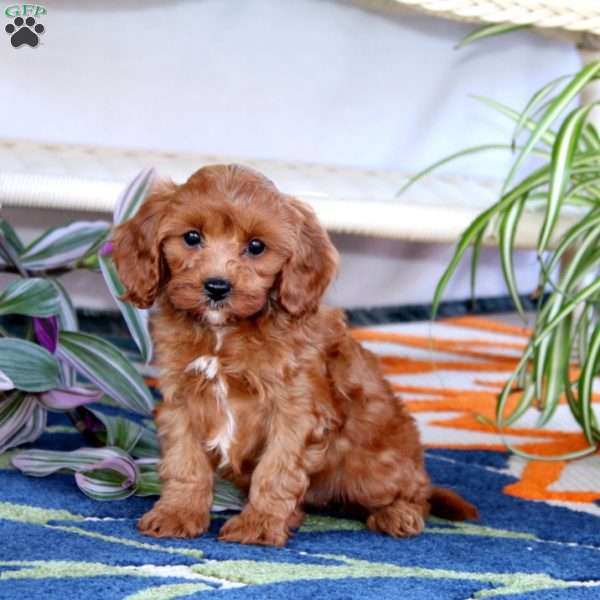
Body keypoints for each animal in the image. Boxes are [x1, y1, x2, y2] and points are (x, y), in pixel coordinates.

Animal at [112, 164, 478, 548]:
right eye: (192, 237)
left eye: (256, 246)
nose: (216, 287)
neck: (224, 333)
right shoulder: (181, 400)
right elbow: (185, 462)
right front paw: (177, 513)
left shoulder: (296, 410)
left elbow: (276, 470)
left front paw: (259, 525)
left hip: (373, 469)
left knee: (416, 492)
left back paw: (398, 514)